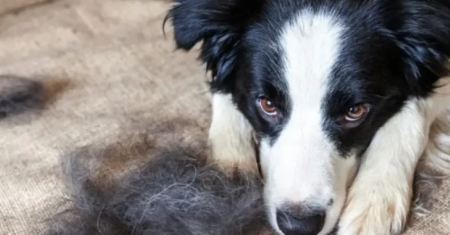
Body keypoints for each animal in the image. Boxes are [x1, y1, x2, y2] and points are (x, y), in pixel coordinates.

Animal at [167, 0, 450, 235]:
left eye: (355, 111)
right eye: (267, 104)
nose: (298, 226)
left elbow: (413, 108)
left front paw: (375, 199)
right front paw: (230, 169)